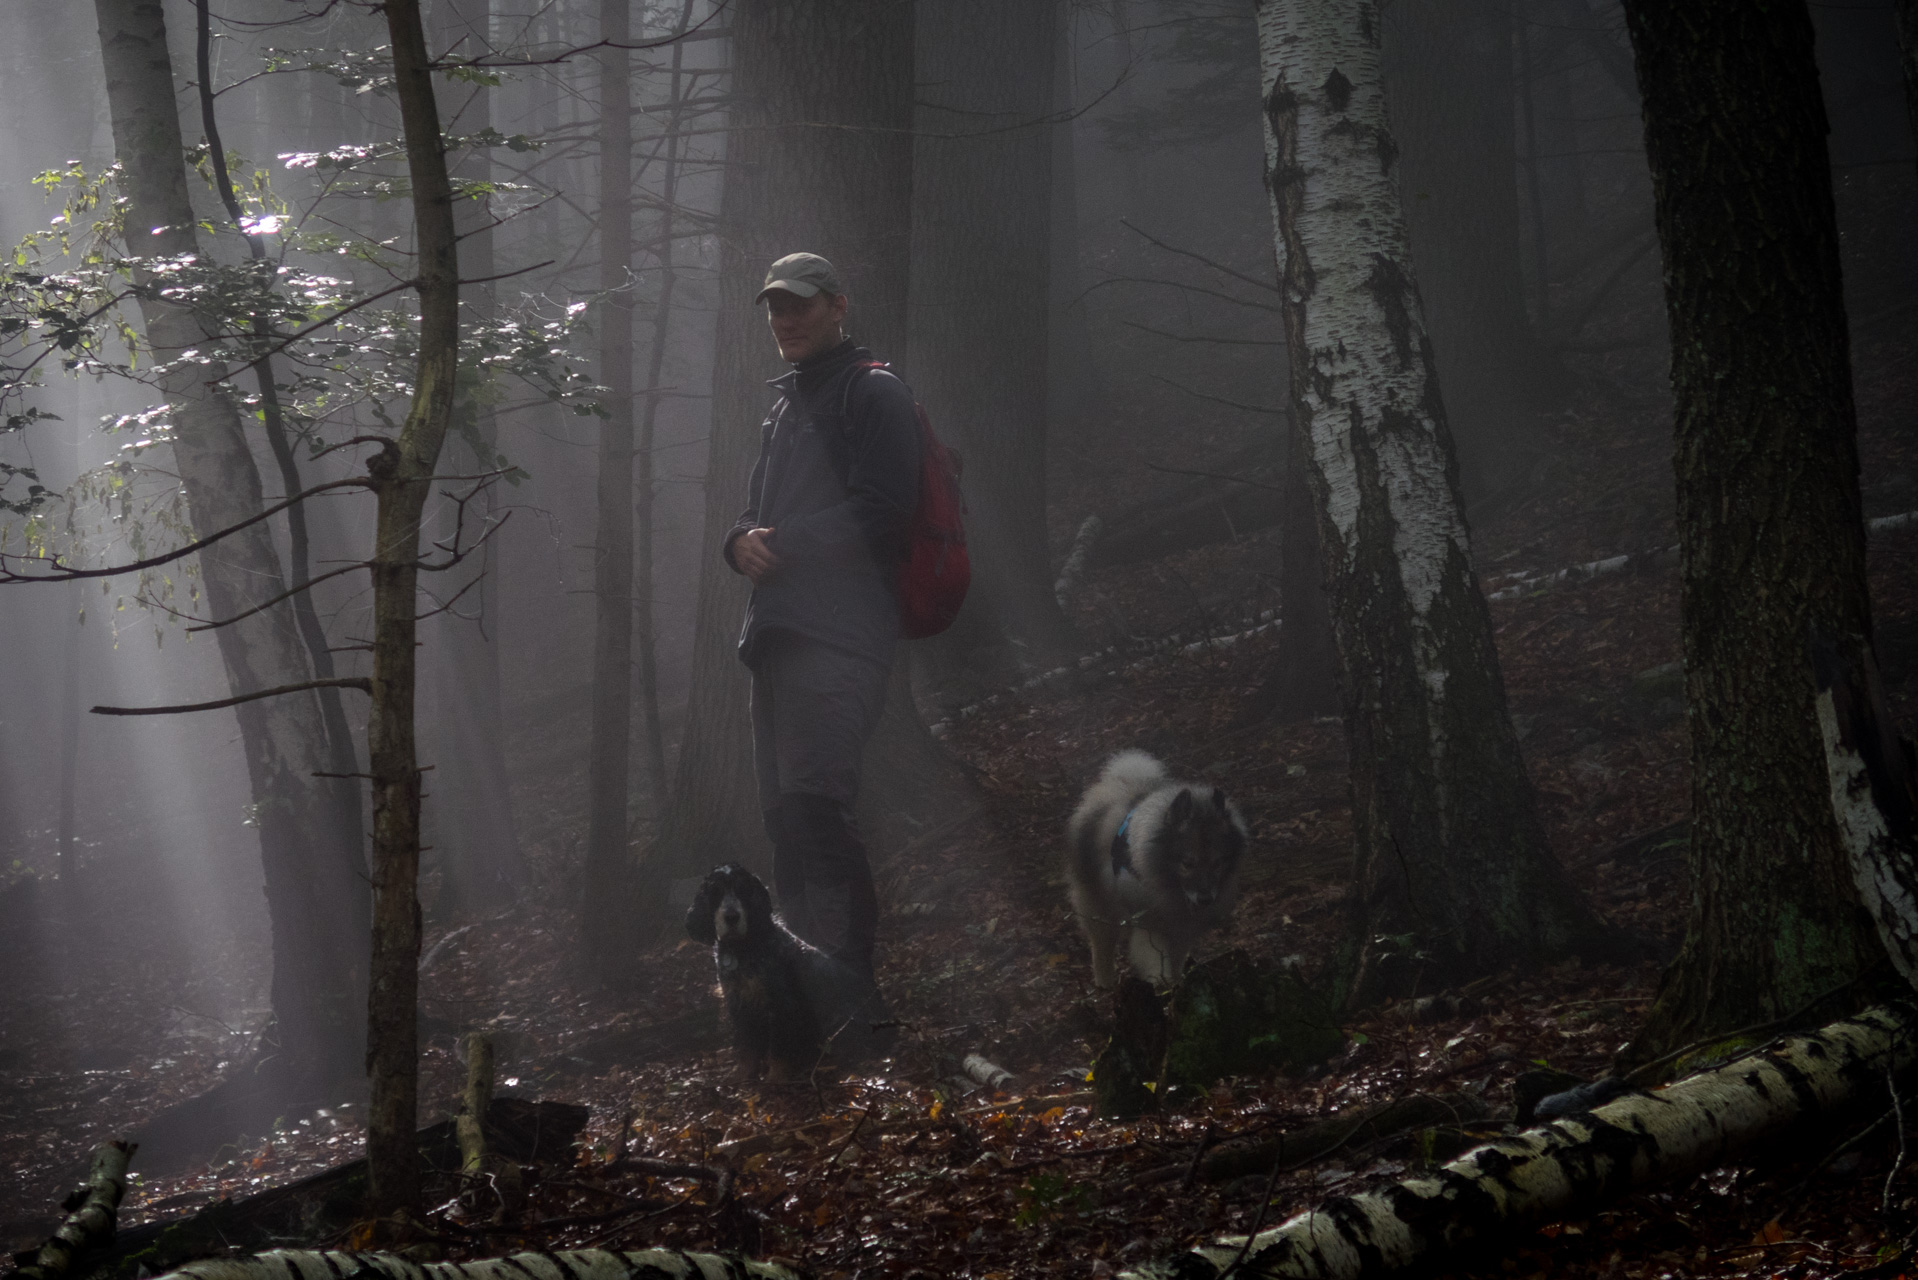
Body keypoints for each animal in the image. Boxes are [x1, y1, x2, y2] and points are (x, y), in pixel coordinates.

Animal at [686, 859, 886, 1082]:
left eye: (743, 889)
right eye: (715, 892)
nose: (731, 917)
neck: (742, 948)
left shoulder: (780, 1004)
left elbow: (778, 1049)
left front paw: (775, 1078)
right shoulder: (739, 1003)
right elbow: (747, 1048)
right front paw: (744, 1077)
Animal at [1066, 752, 1242, 990]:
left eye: (1217, 863)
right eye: (1187, 863)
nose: (1205, 898)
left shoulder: (1180, 932)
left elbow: (1176, 961)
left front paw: (1177, 983)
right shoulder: (1149, 926)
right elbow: (1156, 962)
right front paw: (1163, 984)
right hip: (1099, 909)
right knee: (1101, 947)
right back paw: (1105, 984)